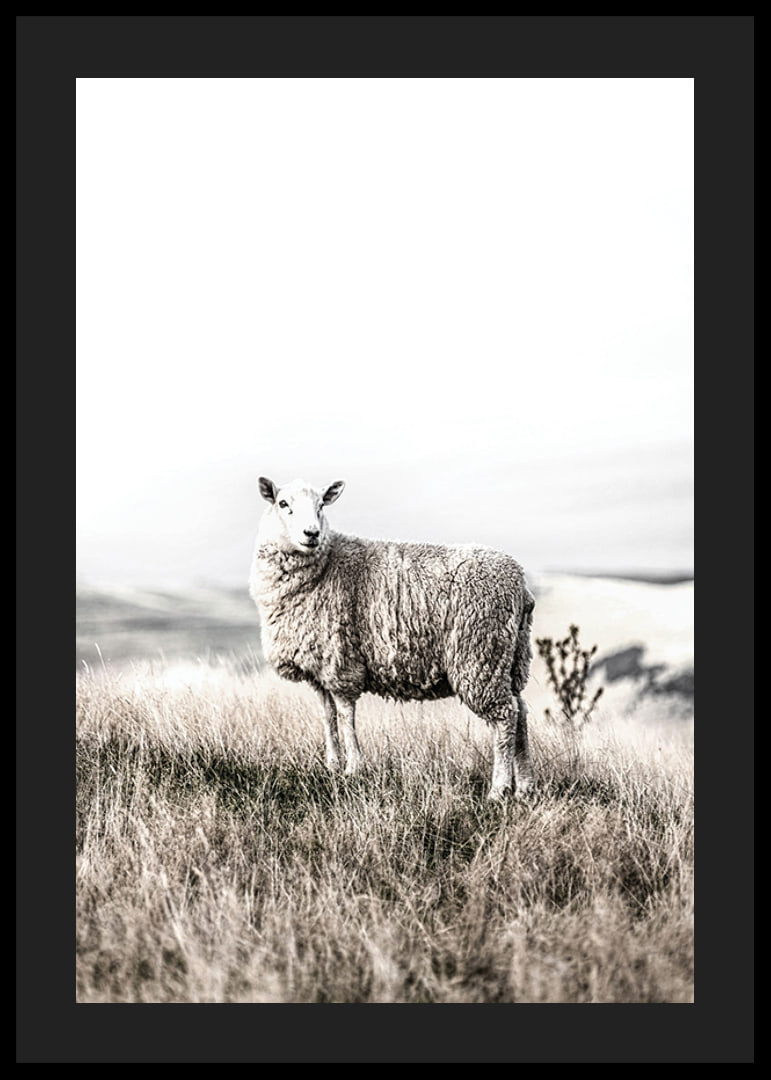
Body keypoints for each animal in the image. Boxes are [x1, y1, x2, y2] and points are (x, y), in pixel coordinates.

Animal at [248, 476, 536, 801]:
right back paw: (525, 787)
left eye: (322, 504)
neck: (325, 566)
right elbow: (328, 716)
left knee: (505, 716)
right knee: (520, 712)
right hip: (510, 658)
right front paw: (332, 765)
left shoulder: (341, 662)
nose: (312, 533)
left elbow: (345, 716)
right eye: (283, 504)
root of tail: (520, 585)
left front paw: (353, 768)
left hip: (480, 654)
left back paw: (499, 789)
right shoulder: (319, 668)